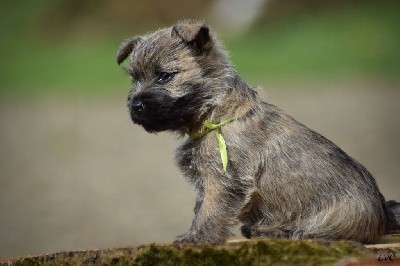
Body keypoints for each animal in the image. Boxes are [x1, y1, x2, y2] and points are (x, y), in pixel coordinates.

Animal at [118, 20, 400, 244]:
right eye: (134, 79)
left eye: (165, 76)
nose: (135, 106)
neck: (218, 116)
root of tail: (382, 215)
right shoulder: (208, 181)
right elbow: (202, 208)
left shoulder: (222, 180)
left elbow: (209, 211)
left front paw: (196, 239)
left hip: (328, 220)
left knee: (311, 234)